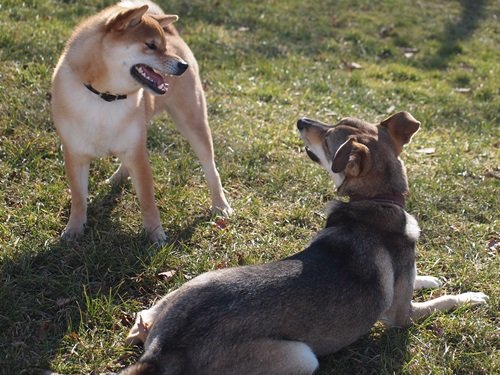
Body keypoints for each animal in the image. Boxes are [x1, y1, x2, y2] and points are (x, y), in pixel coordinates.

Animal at [51, 0, 231, 244]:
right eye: (151, 45)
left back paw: (220, 205)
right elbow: (78, 198)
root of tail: (174, 33)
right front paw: (74, 229)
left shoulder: (138, 155)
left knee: (210, 168)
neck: (104, 97)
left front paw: (156, 234)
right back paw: (117, 178)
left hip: (193, 122)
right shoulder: (75, 154)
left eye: (163, 46)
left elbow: (147, 200)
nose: (182, 66)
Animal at [121, 111, 488, 375]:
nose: (301, 120)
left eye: (328, 137)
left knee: (140, 321)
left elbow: (423, 281)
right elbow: (444, 301)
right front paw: (472, 297)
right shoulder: (403, 316)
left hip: (191, 286)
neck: (378, 200)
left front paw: (430, 278)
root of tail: (162, 351)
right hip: (302, 357)